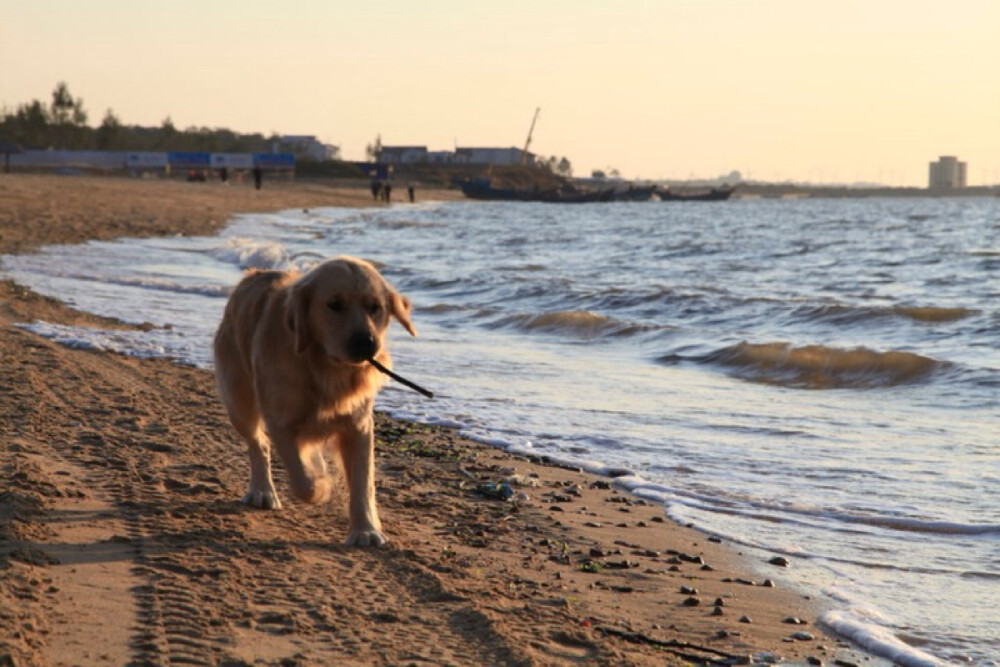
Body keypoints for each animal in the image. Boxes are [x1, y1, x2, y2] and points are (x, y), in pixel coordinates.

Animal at [213, 256, 416, 548]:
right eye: (334, 304)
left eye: (375, 308)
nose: (367, 343)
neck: (326, 369)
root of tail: (253, 275)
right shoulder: (280, 420)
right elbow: (302, 478)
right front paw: (320, 485)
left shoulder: (359, 426)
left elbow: (363, 483)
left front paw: (365, 529)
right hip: (239, 402)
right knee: (258, 443)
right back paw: (263, 490)